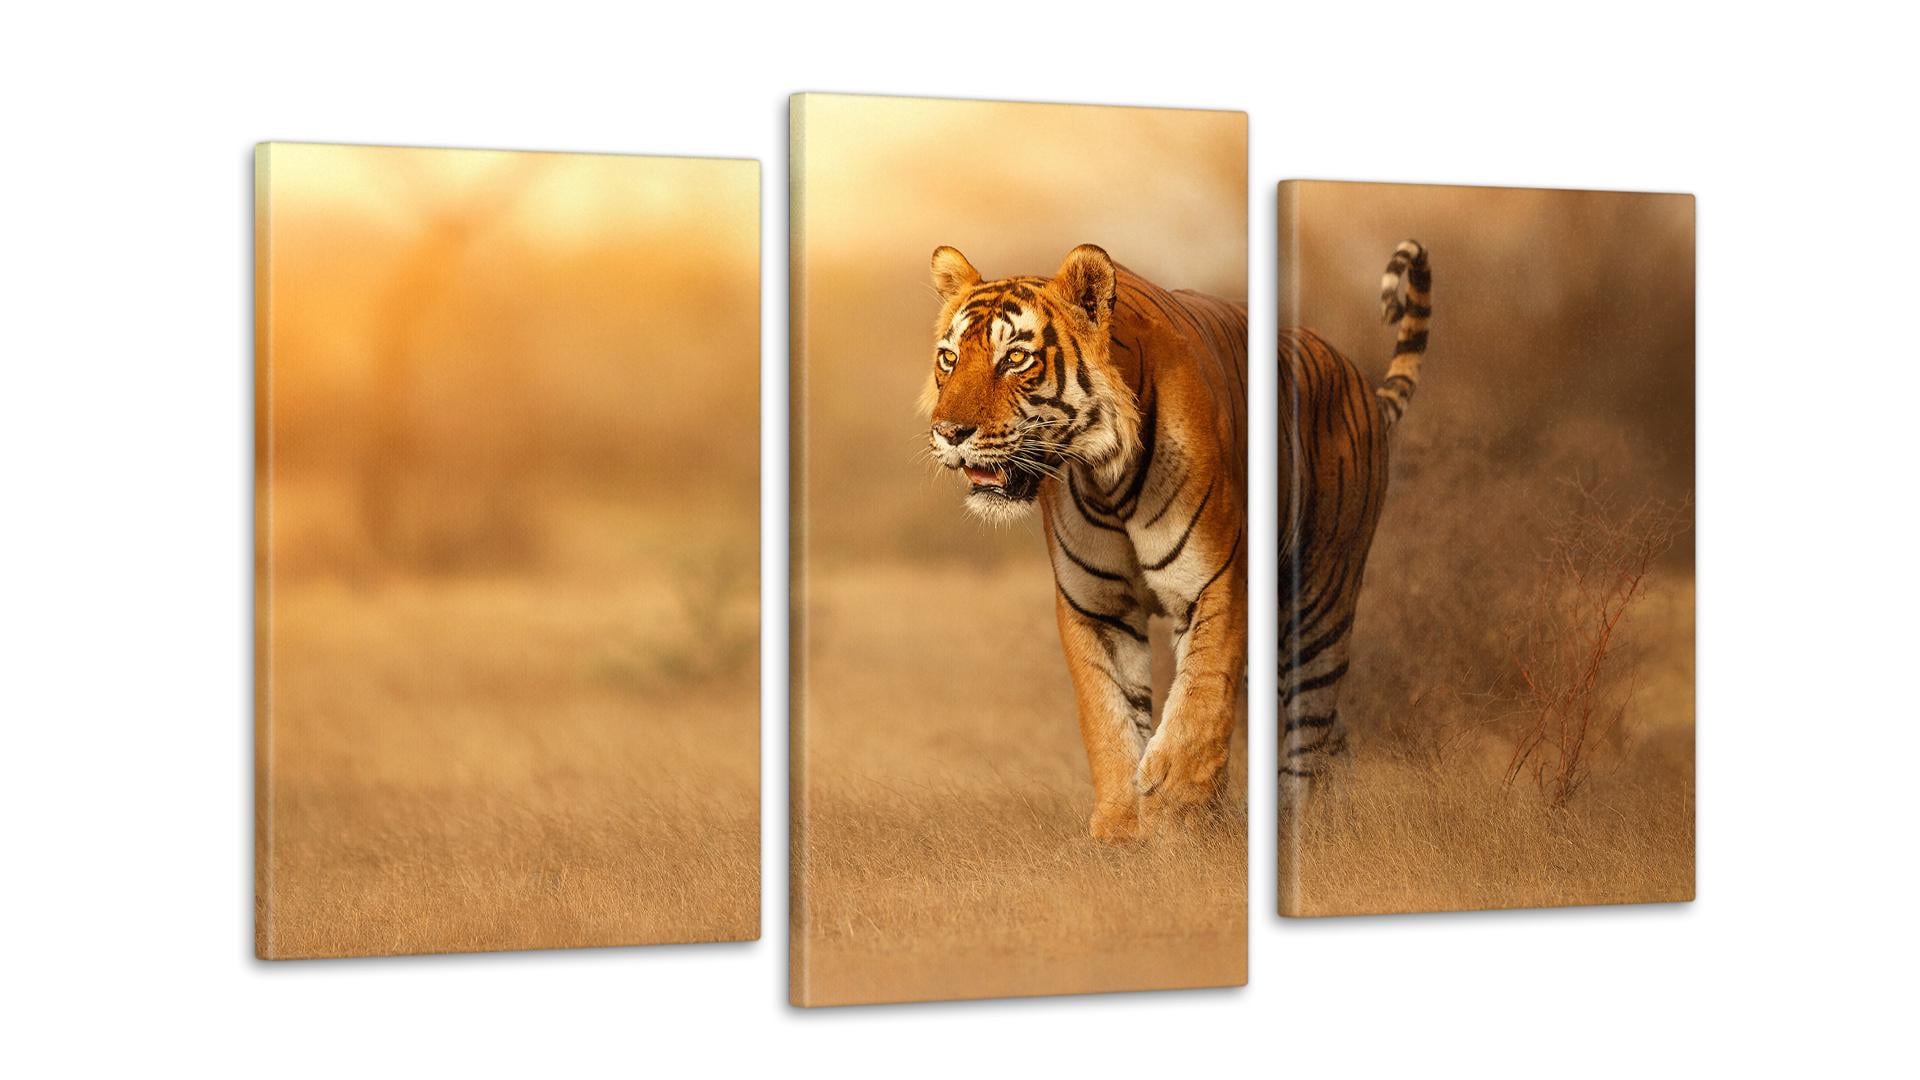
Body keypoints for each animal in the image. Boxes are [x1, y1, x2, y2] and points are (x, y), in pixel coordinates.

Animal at [923, 244, 1247, 843]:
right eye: (949, 359)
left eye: (1014, 359)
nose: (949, 432)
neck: (1108, 476)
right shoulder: (1094, 605)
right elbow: (1107, 712)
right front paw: (1121, 827)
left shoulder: (1216, 577)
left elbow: (1203, 692)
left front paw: (1177, 808)